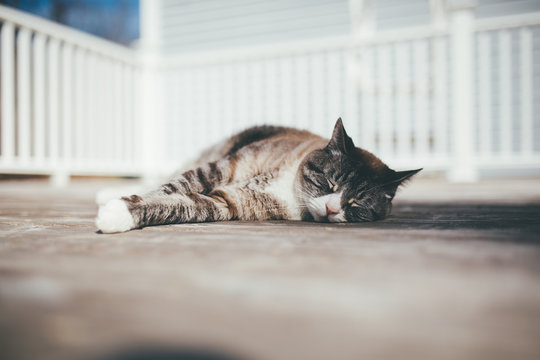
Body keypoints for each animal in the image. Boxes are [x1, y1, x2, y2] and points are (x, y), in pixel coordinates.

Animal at [95, 118, 420, 233]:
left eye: (356, 204)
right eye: (330, 182)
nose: (331, 208)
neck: (288, 188)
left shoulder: (227, 201)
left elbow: (182, 205)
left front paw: (119, 214)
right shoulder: (220, 169)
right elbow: (173, 186)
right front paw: (121, 205)